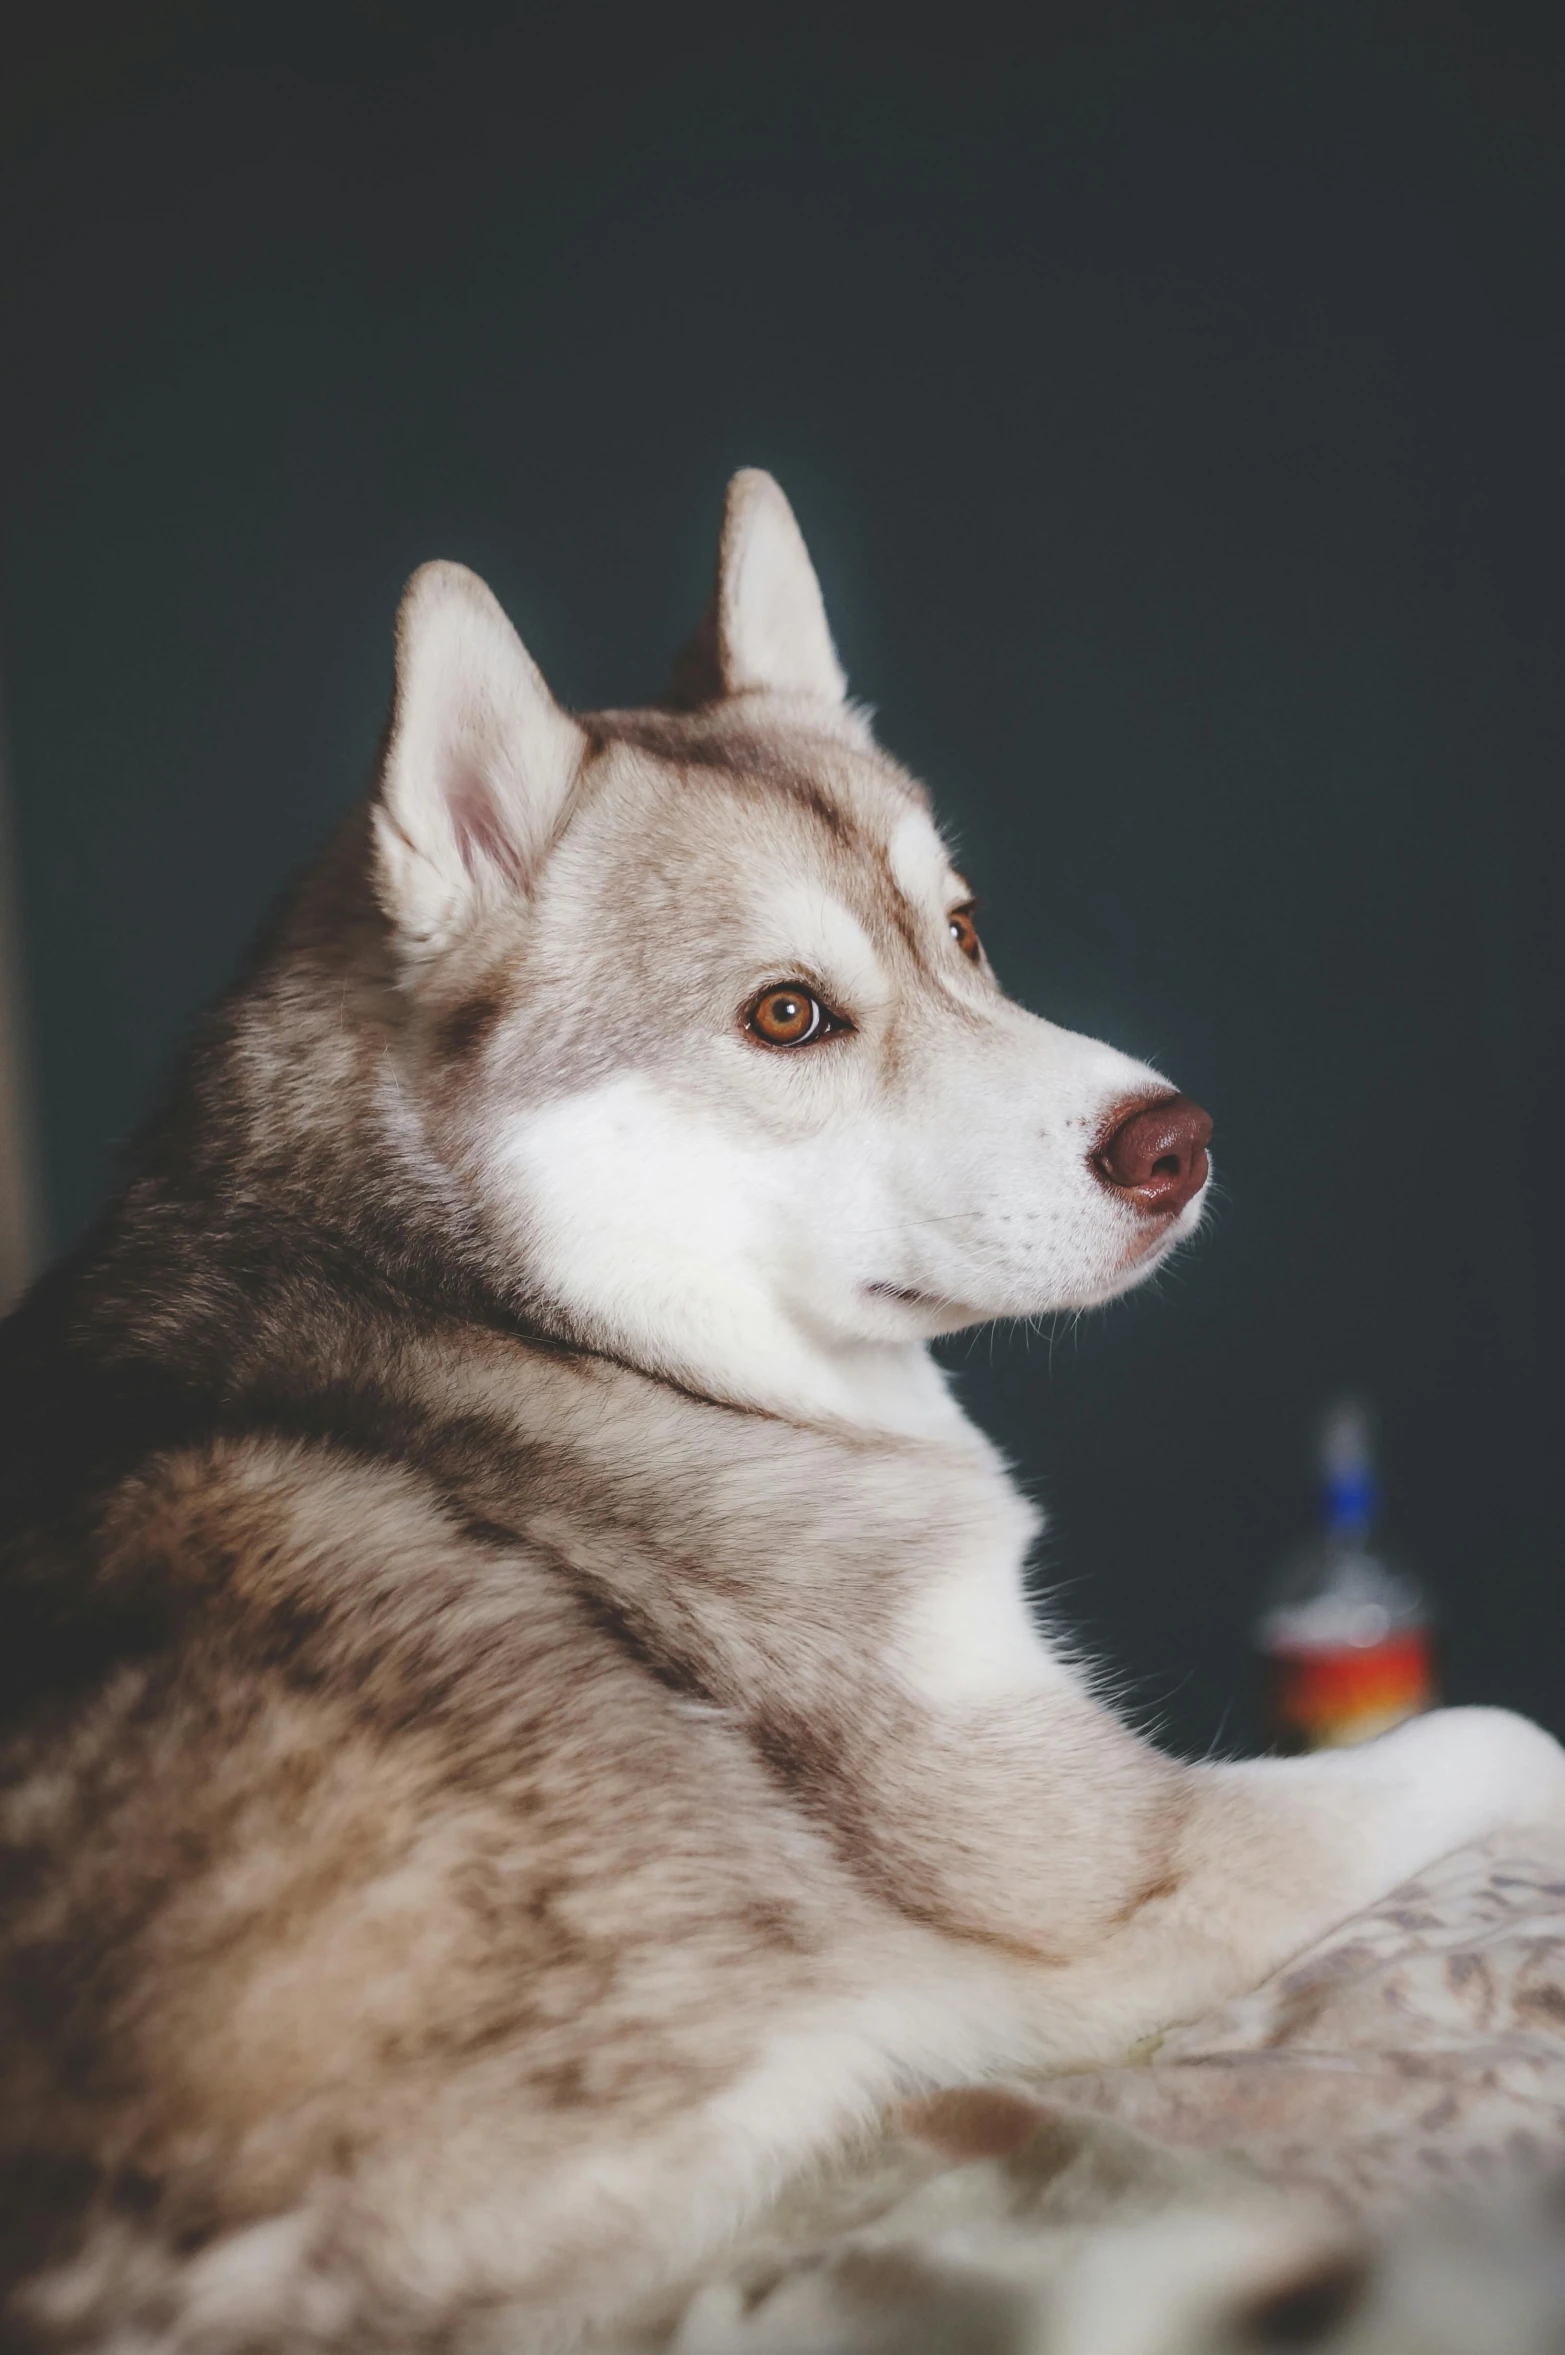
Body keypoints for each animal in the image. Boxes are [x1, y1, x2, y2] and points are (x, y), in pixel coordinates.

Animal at [3, 468, 1562, 2345]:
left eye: (962, 930)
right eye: (789, 1014)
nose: (1176, 1142)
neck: (548, 1334)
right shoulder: (1124, 1881)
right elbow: (1506, 1735)